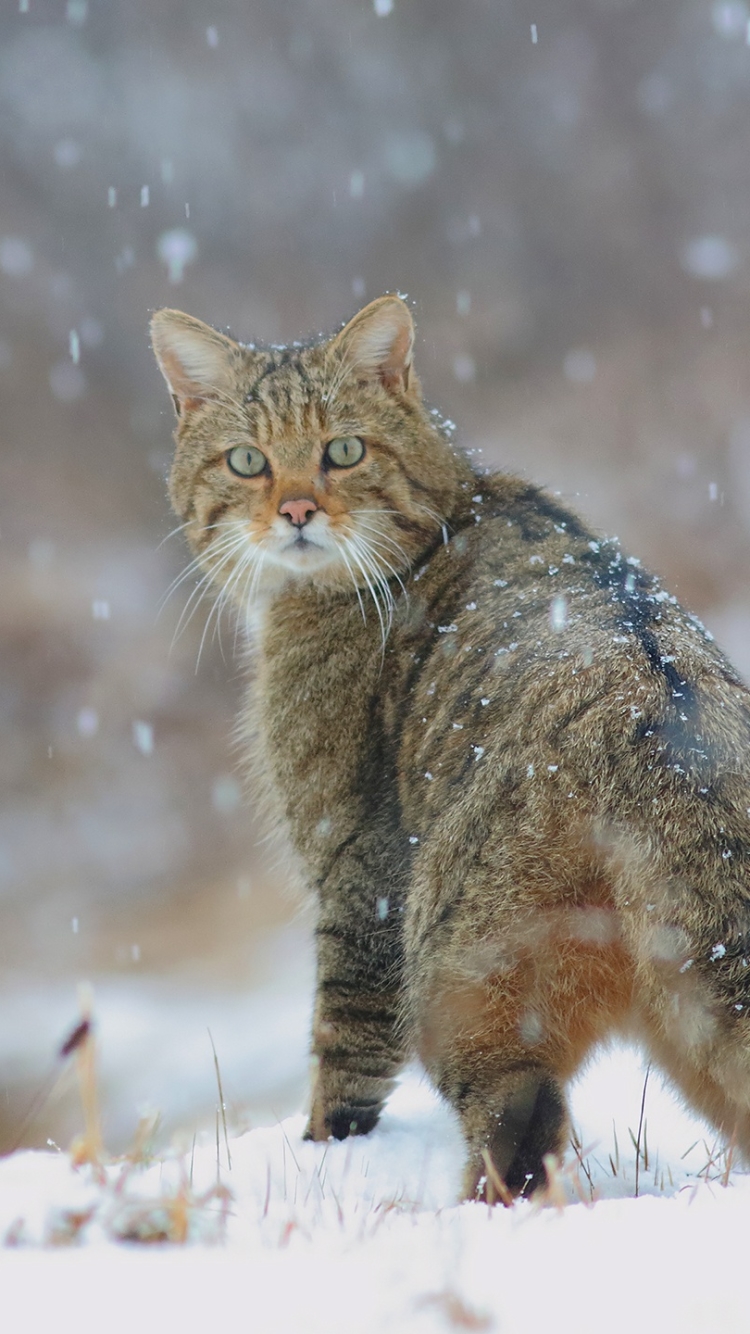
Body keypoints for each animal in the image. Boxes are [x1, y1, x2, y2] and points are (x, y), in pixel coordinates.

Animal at [152, 297, 750, 1205]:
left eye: (344, 449)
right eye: (248, 461)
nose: (296, 511)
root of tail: (664, 729)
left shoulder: (356, 865)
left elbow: (345, 1050)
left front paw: (323, 1153)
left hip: (455, 969)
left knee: (520, 1126)